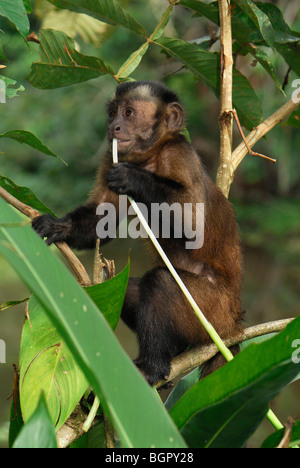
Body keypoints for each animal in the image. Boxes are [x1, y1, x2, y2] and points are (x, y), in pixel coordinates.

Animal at [33, 80, 244, 386]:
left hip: (215, 313)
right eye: (112, 113)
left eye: (129, 113)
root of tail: (235, 325)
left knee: (160, 283)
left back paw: (152, 367)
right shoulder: (110, 158)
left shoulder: (179, 155)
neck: (150, 157)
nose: (114, 127)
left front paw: (134, 179)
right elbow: (102, 221)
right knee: (131, 291)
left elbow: (193, 225)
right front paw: (56, 226)